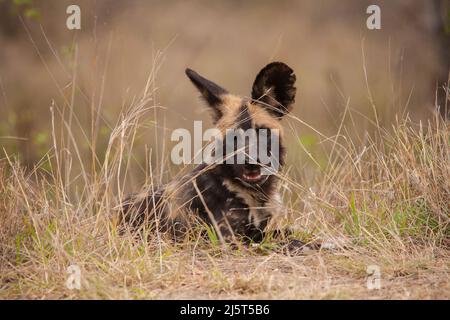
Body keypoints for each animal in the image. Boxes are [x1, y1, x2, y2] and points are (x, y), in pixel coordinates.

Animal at [121, 61, 308, 249]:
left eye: (263, 132)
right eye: (234, 137)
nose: (251, 161)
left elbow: (287, 232)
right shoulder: (229, 241)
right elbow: (287, 241)